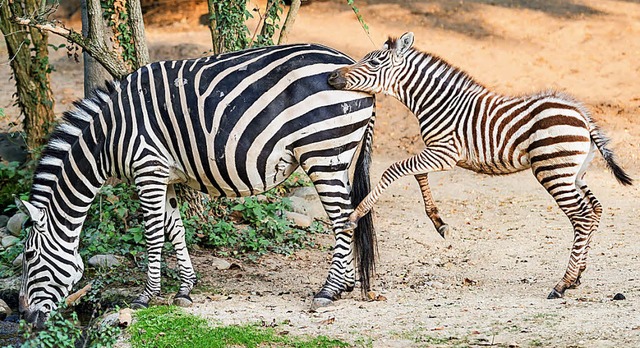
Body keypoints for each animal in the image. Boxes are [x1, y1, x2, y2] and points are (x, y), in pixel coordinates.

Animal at [17, 42, 378, 326]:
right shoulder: (166, 176)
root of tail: (353, 65)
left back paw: (329, 290)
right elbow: (174, 228)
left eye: (29, 256)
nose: (25, 319)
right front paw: (185, 289)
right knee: (349, 213)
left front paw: (145, 296)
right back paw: (345, 283)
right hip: (338, 154)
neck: (107, 137)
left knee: (342, 218)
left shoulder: (148, 168)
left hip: (322, 150)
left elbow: (153, 235)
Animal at [328, 32, 632, 300]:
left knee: (581, 215)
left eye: (374, 63)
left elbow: (395, 169)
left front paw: (355, 215)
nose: (332, 77)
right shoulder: (435, 152)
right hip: (574, 172)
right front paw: (438, 222)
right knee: (595, 209)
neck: (439, 103)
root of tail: (582, 115)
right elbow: (417, 173)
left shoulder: (445, 153)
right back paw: (578, 275)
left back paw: (563, 284)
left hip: (552, 171)